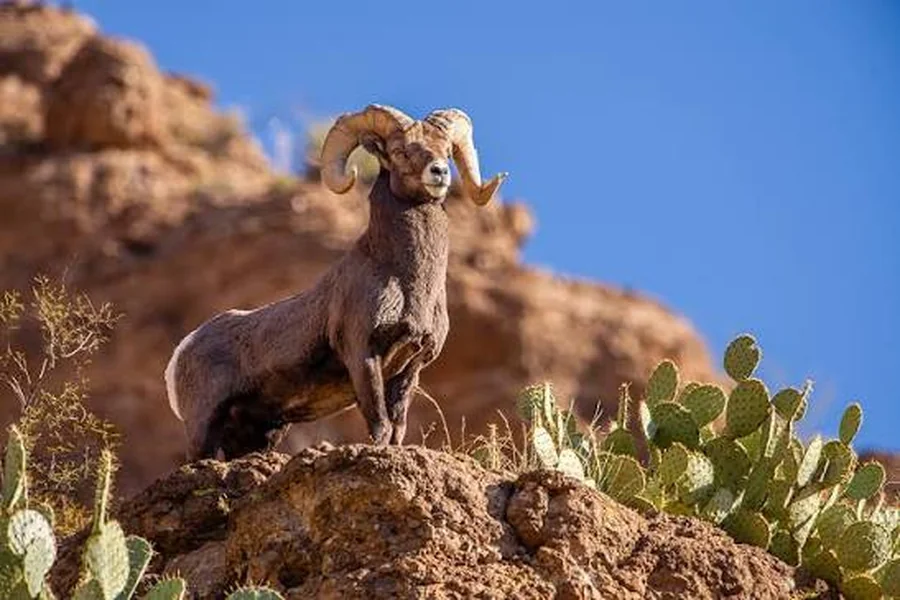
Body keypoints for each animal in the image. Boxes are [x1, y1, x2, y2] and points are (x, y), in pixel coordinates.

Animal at [164, 103, 508, 461]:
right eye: (400, 152)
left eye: (446, 153)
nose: (439, 173)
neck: (408, 283)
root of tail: (182, 351)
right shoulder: (362, 355)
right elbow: (380, 423)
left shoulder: (410, 368)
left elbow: (397, 427)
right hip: (204, 427)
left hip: (258, 433)